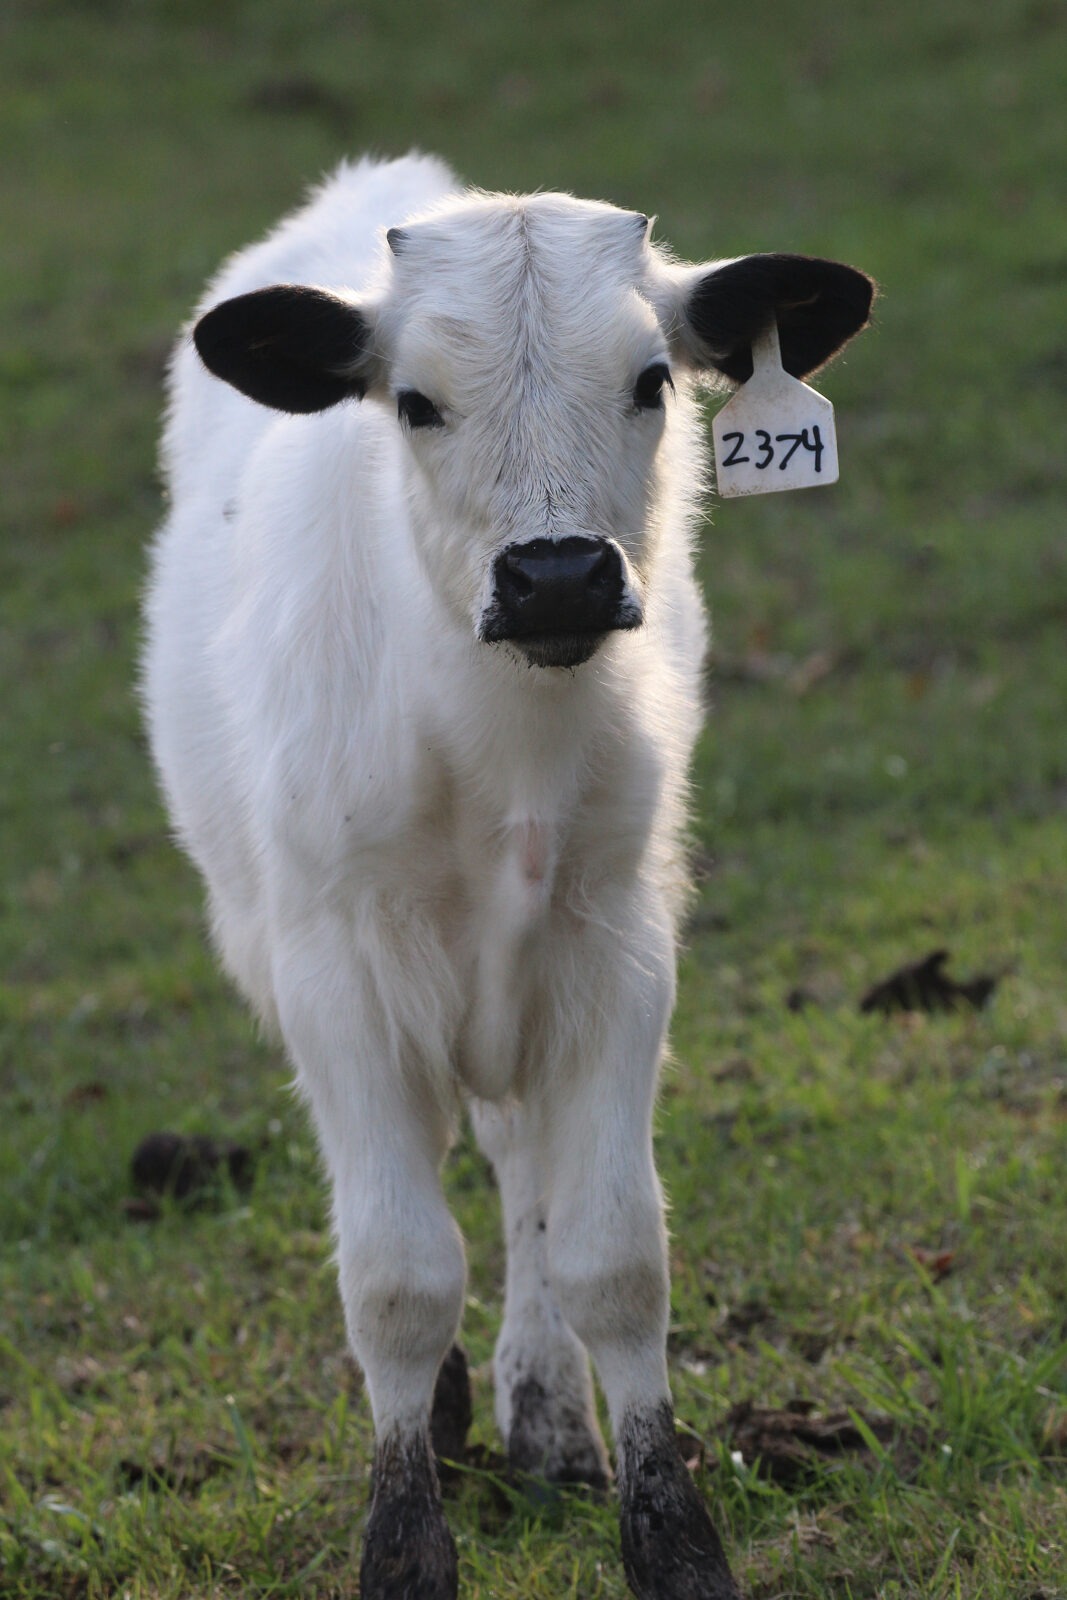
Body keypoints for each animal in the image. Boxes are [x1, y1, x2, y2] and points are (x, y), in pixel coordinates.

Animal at [146, 152, 870, 1600]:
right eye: (414, 401)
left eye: (651, 380)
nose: (555, 577)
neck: (497, 748)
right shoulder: (337, 975)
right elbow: (395, 1276)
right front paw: (403, 1539)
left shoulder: (616, 947)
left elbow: (611, 1252)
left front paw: (666, 1534)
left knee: (518, 1165)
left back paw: (545, 1422)